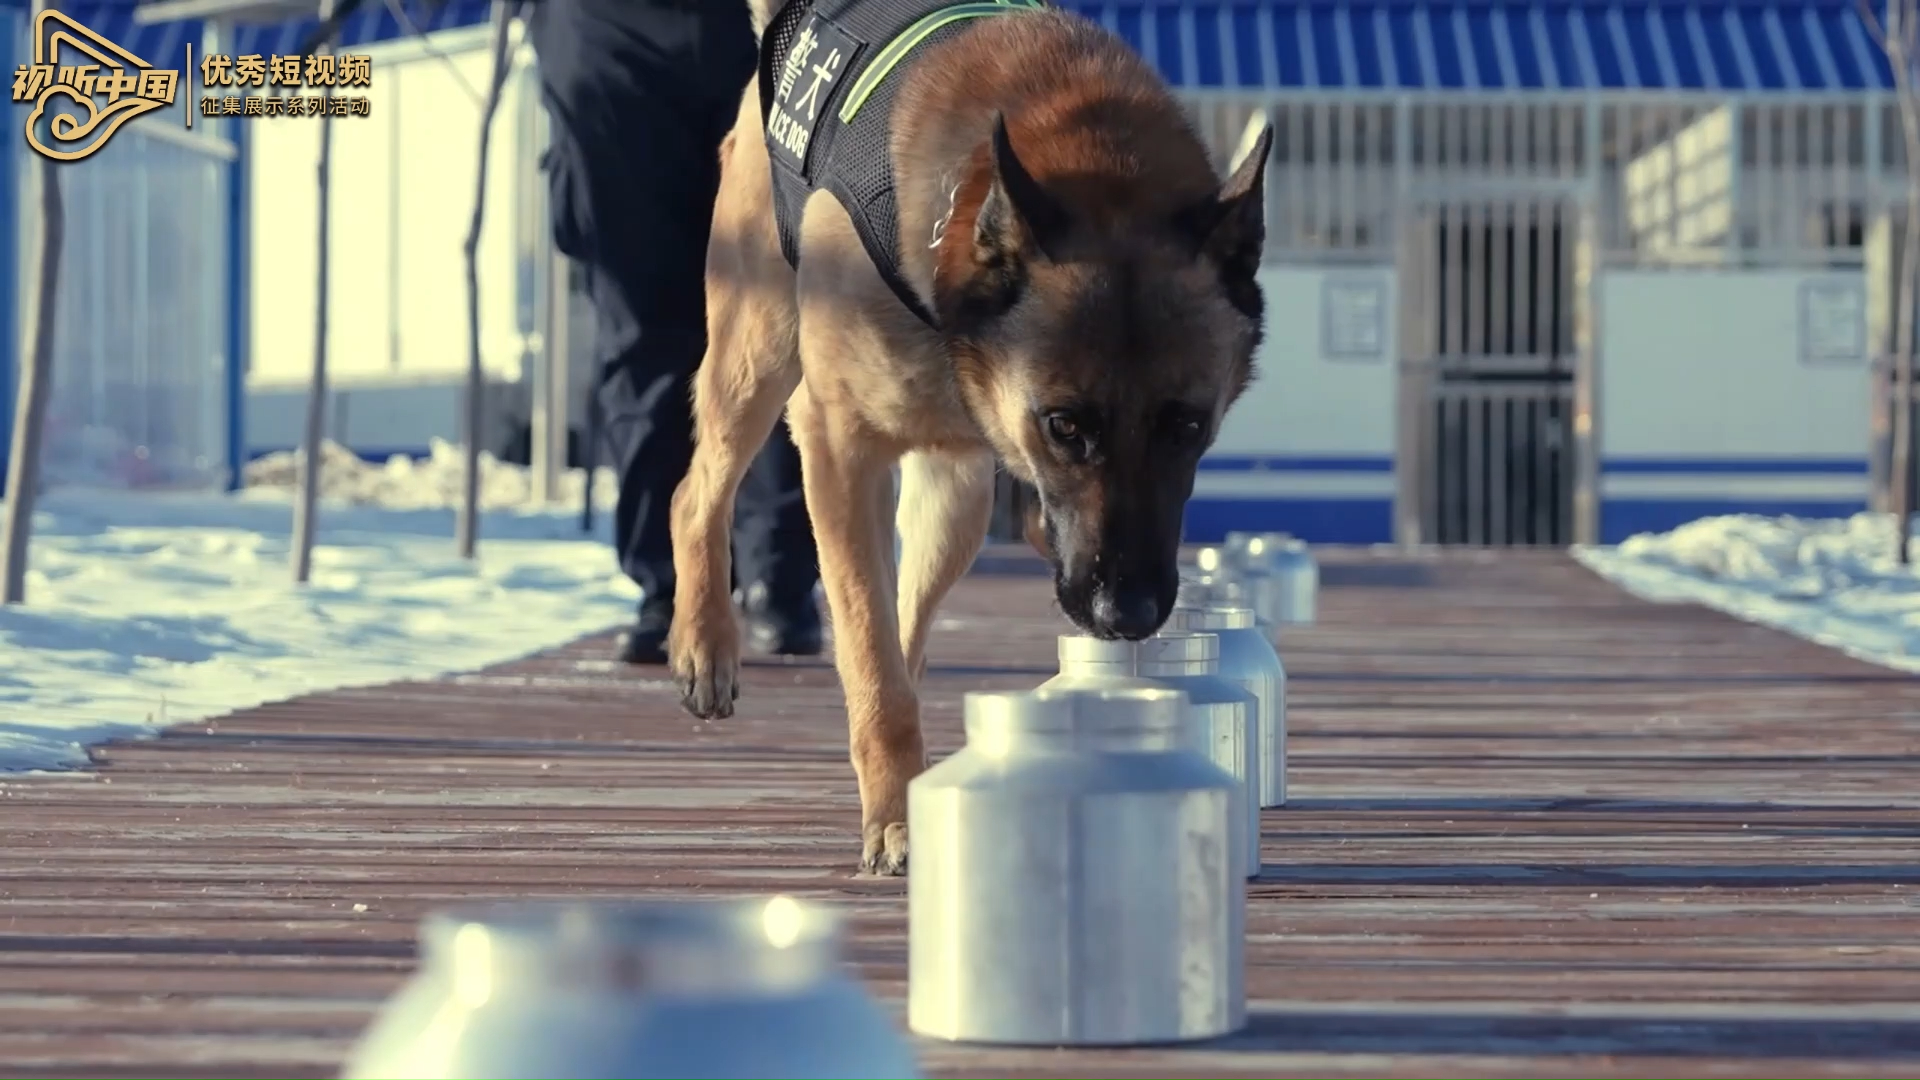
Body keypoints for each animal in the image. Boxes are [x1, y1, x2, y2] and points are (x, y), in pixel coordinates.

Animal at [668, 0, 1267, 868]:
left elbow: (887, 647)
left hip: (955, 499)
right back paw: (704, 645)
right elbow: (871, 657)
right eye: (1064, 425)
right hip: (759, 348)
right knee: (696, 493)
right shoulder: (838, 447)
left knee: (908, 617)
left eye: (1187, 425)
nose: (1126, 613)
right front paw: (891, 819)